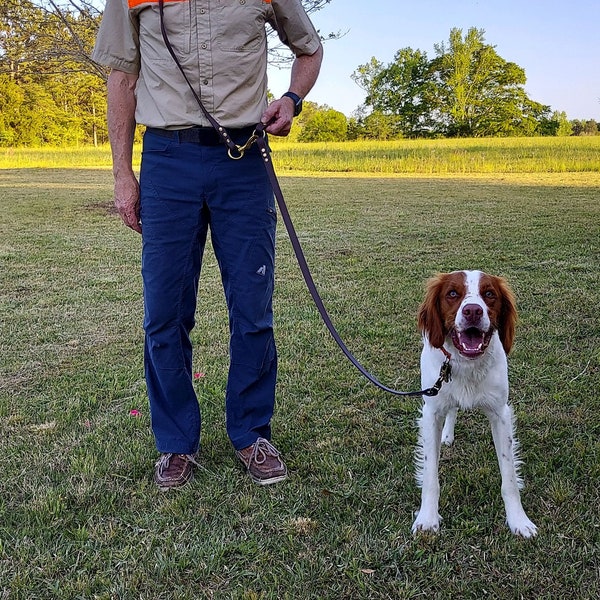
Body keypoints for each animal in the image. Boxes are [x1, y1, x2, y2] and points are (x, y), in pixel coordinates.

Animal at [412, 270, 540, 536]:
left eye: (489, 293)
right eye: (452, 293)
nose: (473, 311)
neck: (466, 364)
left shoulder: (500, 414)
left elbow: (509, 478)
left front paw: (518, 520)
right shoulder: (431, 413)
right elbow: (430, 475)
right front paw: (427, 518)